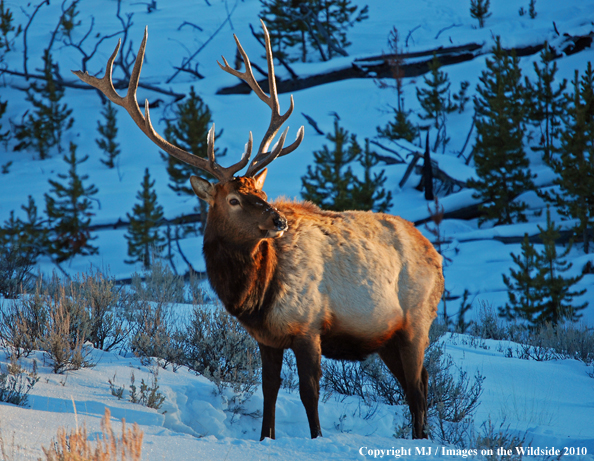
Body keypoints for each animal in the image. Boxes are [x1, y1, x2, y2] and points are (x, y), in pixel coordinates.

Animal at [74, 21, 442, 438]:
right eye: (234, 199)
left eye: (262, 192)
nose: (279, 221)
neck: (253, 295)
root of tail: (435, 254)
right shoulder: (267, 338)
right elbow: (269, 390)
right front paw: (267, 436)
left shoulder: (308, 326)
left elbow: (309, 392)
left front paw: (315, 438)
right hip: (386, 337)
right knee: (419, 384)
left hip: (417, 321)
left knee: (417, 389)